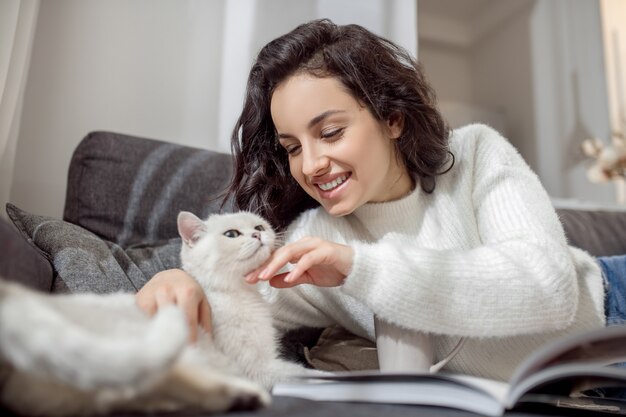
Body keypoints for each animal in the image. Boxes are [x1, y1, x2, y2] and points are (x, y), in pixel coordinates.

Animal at [0, 211, 310, 416]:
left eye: (259, 225)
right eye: (232, 234)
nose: (259, 234)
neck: (236, 293)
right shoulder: (256, 366)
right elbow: (296, 372)